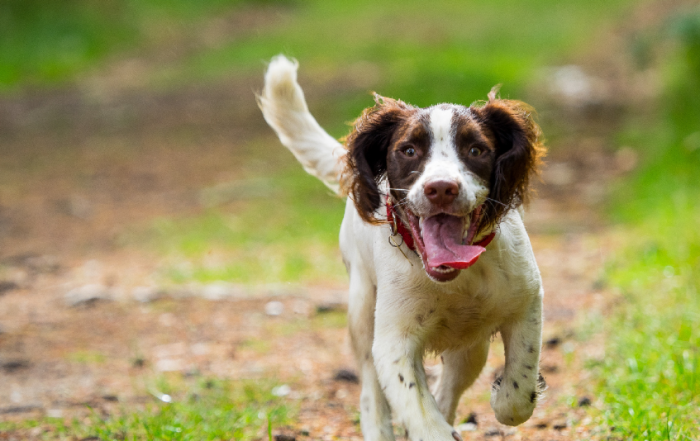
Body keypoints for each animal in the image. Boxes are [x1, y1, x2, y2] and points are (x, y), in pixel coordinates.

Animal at [258, 56, 548, 440]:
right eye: (409, 151)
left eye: (476, 150)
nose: (441, 188)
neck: (454, 278)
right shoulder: (394, 340)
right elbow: (421, 414)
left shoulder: (526, 300)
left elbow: (518, 391)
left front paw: (502, 398)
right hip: (362, 312)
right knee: (371, 392)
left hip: (471, 347)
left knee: (449, 387)